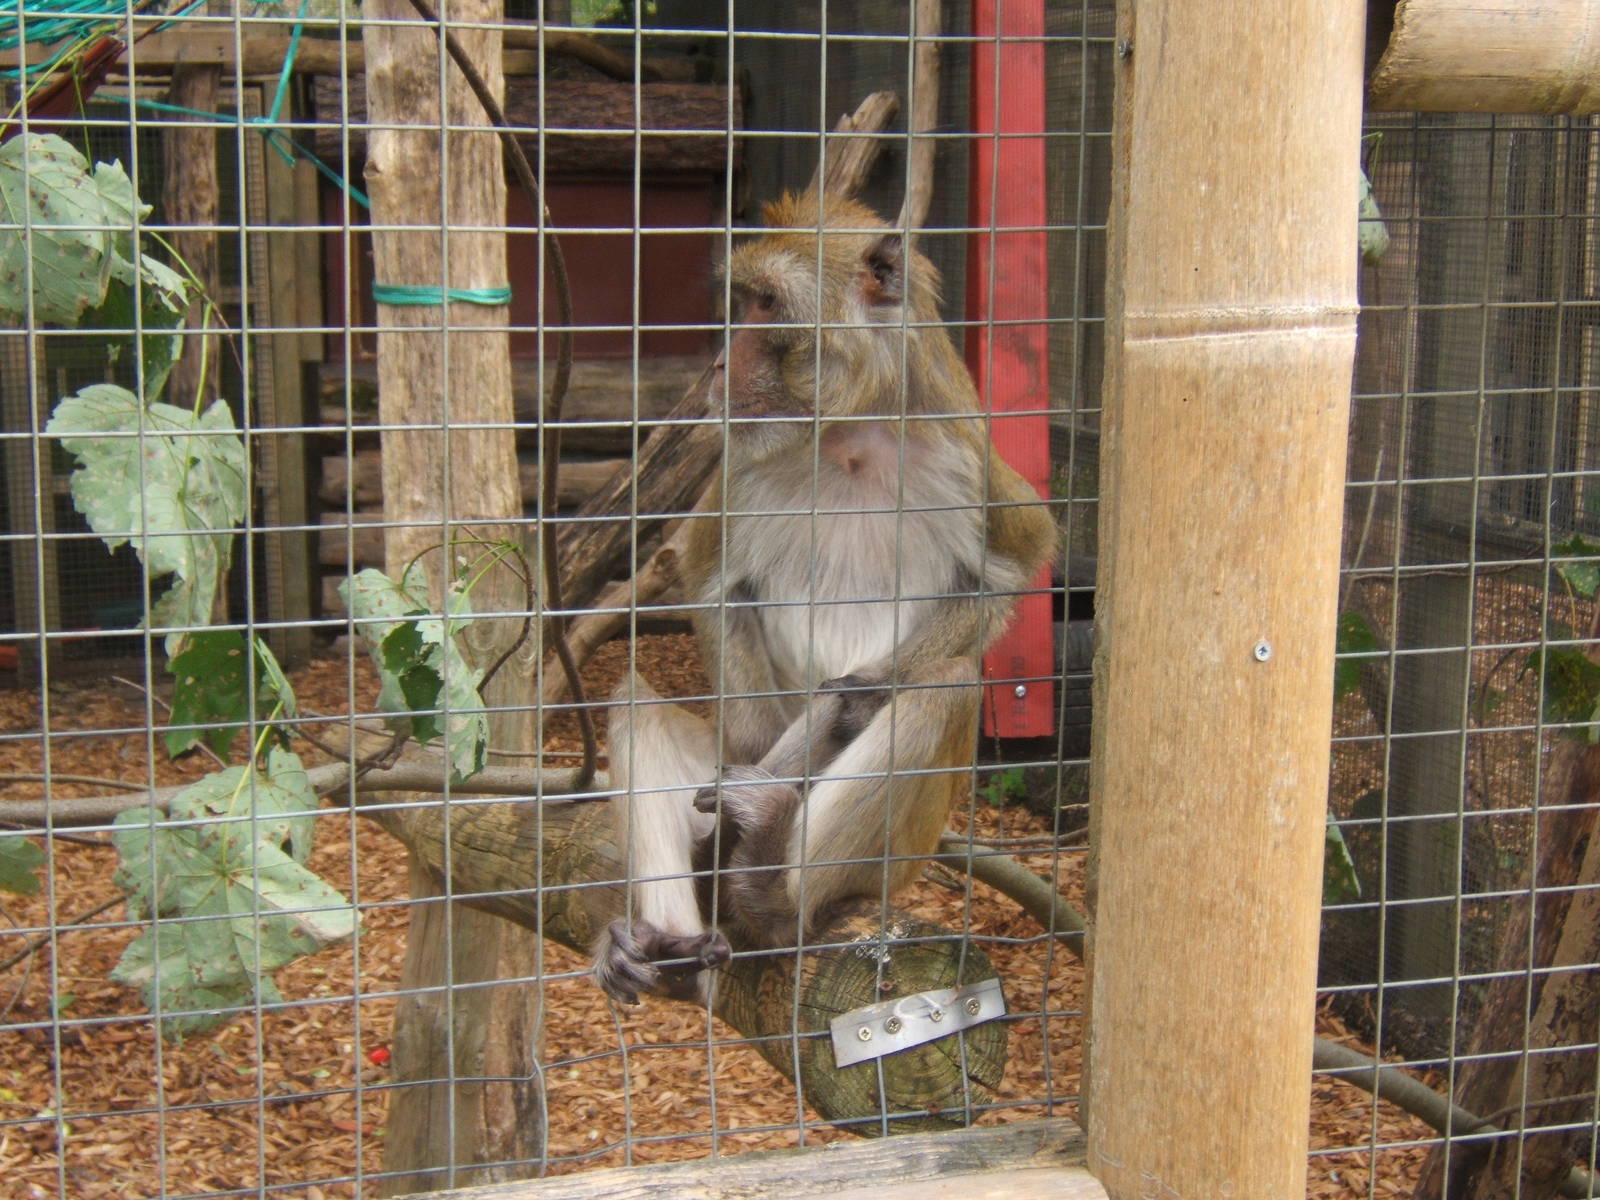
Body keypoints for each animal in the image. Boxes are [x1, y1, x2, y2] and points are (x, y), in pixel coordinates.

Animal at [592, 189, 1056, 1005]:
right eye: (742, 301)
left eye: (766, 305)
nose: (721, 362)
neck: (848, 429)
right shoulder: (740, 466)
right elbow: (711, 580)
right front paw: (771, 743)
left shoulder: (964, 454)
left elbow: (1008, 573)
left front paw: (857, 696)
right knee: (638, 703)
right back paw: (672, 934)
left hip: (901, 860)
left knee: (946, 686)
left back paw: (771, 892)